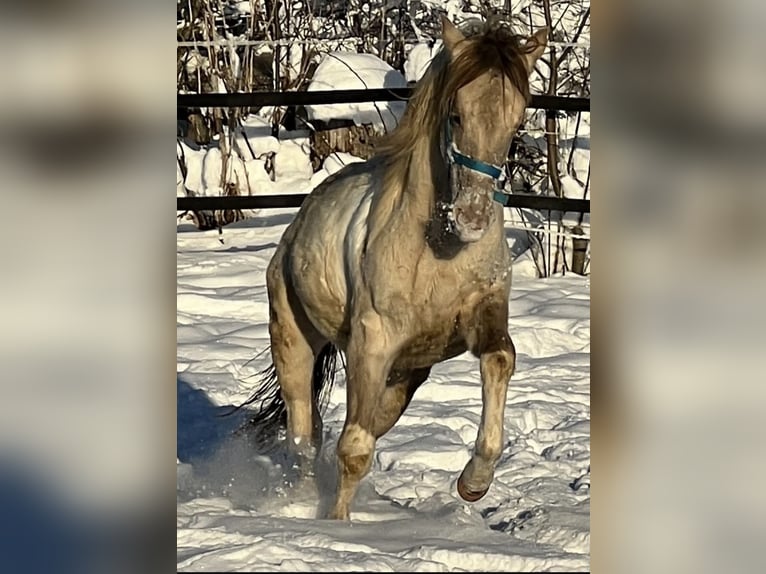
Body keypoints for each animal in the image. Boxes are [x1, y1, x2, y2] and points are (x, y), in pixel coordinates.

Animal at [242, 16, 548, 520]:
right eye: (456, 114)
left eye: (516, 120)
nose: (473, 216)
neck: (440, 252)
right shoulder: (372, 343)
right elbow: (354, 448)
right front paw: (336, 526)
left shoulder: (483, 320)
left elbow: (501, 360)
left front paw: (473, 484)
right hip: (295, 342)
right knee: (305, 435)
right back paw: (300, 503)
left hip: (408, 373)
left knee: (349, 428)